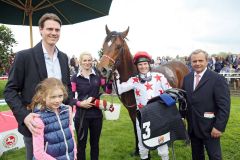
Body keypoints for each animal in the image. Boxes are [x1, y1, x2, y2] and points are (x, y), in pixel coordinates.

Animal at [97, 25, 189, 156]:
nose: (102, 70)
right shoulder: (131, 110)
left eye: (118, 46)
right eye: (103, 46)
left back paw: (187, 141)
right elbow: (136, 129)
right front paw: (137, 150)